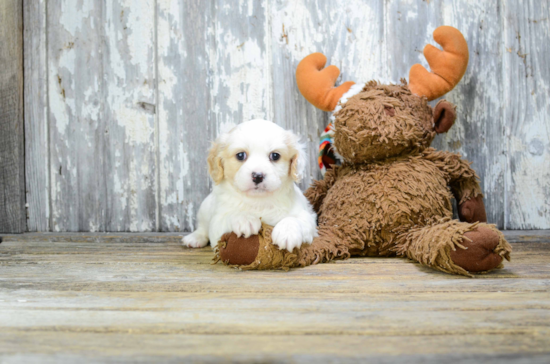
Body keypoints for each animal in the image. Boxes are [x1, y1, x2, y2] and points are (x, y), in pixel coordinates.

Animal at [183, 119, 316, 250]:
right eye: (240, 155)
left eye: (275, 155)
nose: (258, 176)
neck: (258, 201)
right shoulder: (217, 223)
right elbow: (228, 217)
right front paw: (245, 219)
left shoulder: (307, 217)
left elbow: (296, 219)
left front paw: (287, 232)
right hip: (205, 208)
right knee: (202, 227)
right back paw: (195, 238)